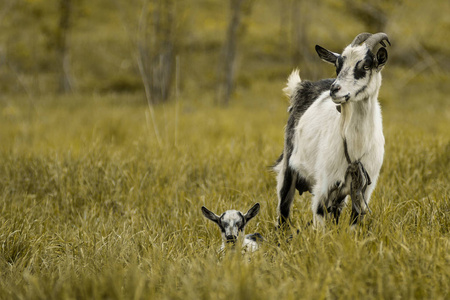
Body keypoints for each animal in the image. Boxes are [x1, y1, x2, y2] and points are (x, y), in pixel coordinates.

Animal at [274, 31, 390, 226]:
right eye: (338, 65)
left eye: (366, 65)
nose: (335, 89)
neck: (356, 144)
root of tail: (301, 87)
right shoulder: (324, 186)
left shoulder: (364, 189)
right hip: (288, 169)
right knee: (283, 213)